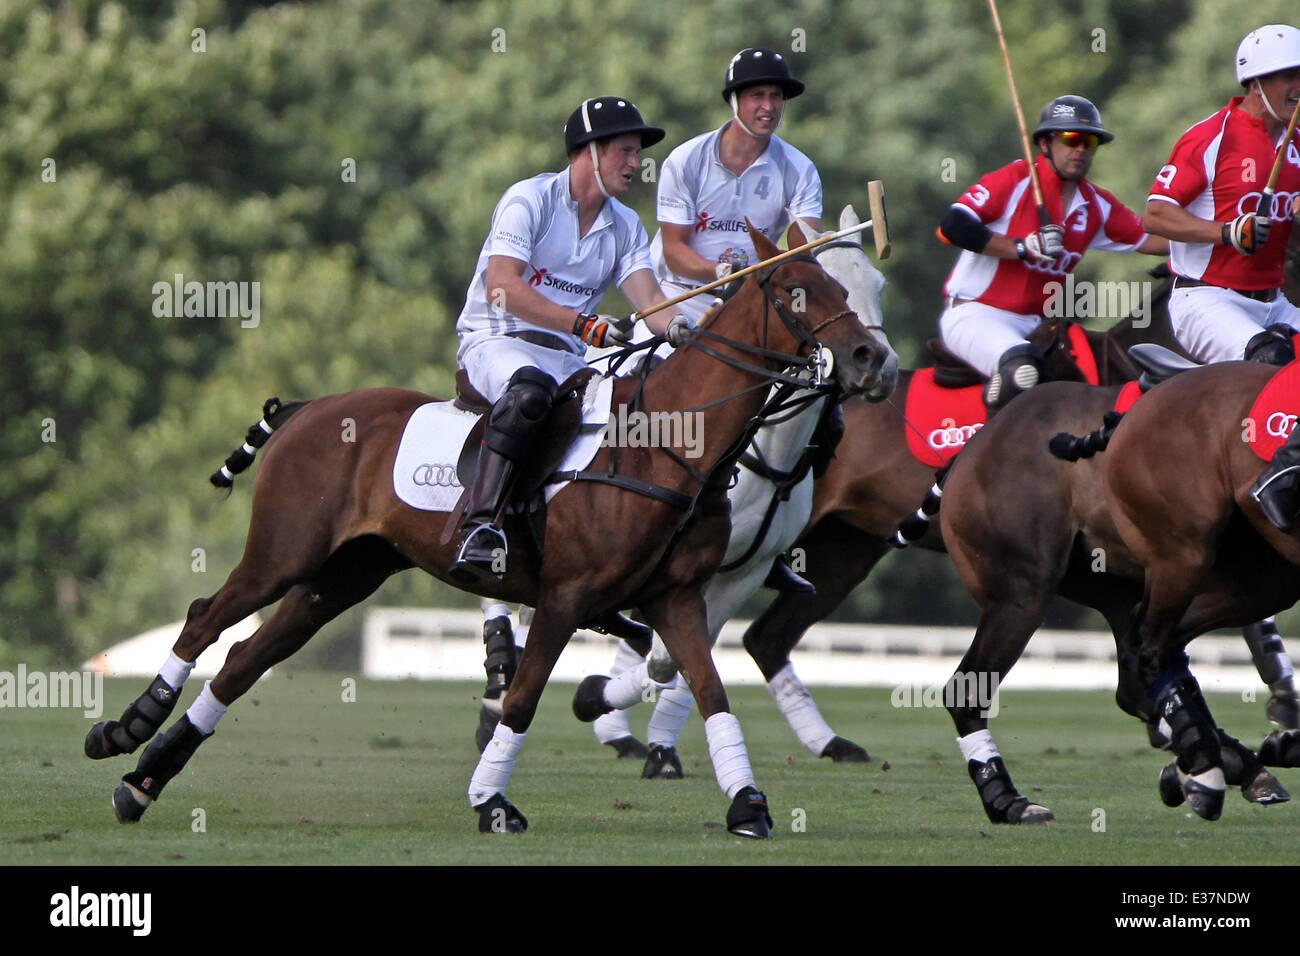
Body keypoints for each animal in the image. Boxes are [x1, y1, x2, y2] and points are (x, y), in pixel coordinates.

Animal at [83, 226, 894, 837]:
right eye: (798, 291)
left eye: (850, 288)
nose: (872, 360)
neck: (669, 445)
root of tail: (311, 408)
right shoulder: (567, 596)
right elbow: (524, 698)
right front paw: (492, 802)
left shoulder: (678, 597)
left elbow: (707, 689)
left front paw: (748, 806)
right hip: (285, 552)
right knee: (205, 617)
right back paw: (124, 730)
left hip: (344, 575)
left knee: (247, 658)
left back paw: (141, 782)